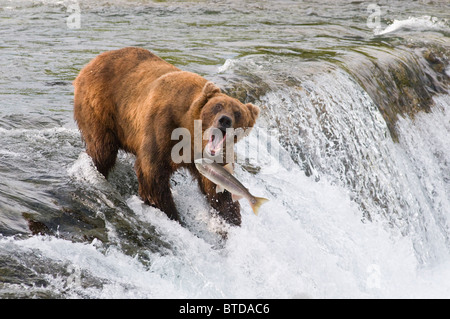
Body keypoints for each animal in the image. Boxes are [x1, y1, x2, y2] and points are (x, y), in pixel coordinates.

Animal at [74, 48, 260, 228]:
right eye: (218, 106)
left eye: (238, 113)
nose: (225, 120)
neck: (191, 131)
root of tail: (91, 63)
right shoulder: (163, 126)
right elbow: (152, 173)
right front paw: (171, 214)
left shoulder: (215, 155)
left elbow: (217, 187)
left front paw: (230, 218)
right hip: (100, 107)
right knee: (103, 150)